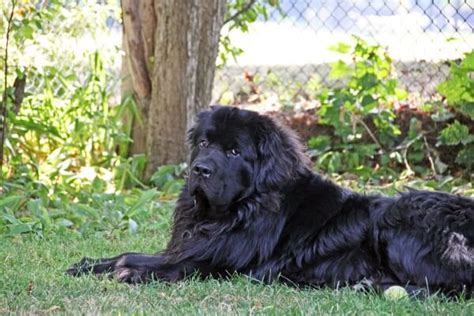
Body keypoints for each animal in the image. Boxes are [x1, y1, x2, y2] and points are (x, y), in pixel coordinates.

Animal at [67, 106, 474, 296]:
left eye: (233, 151)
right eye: (204, 143)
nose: (200, 169)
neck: (233, 212)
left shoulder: (226, 265)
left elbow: (180, 267)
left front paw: (134, 274)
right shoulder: (190, 245)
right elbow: (131, 253)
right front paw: (89, 265)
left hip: (399, 214)